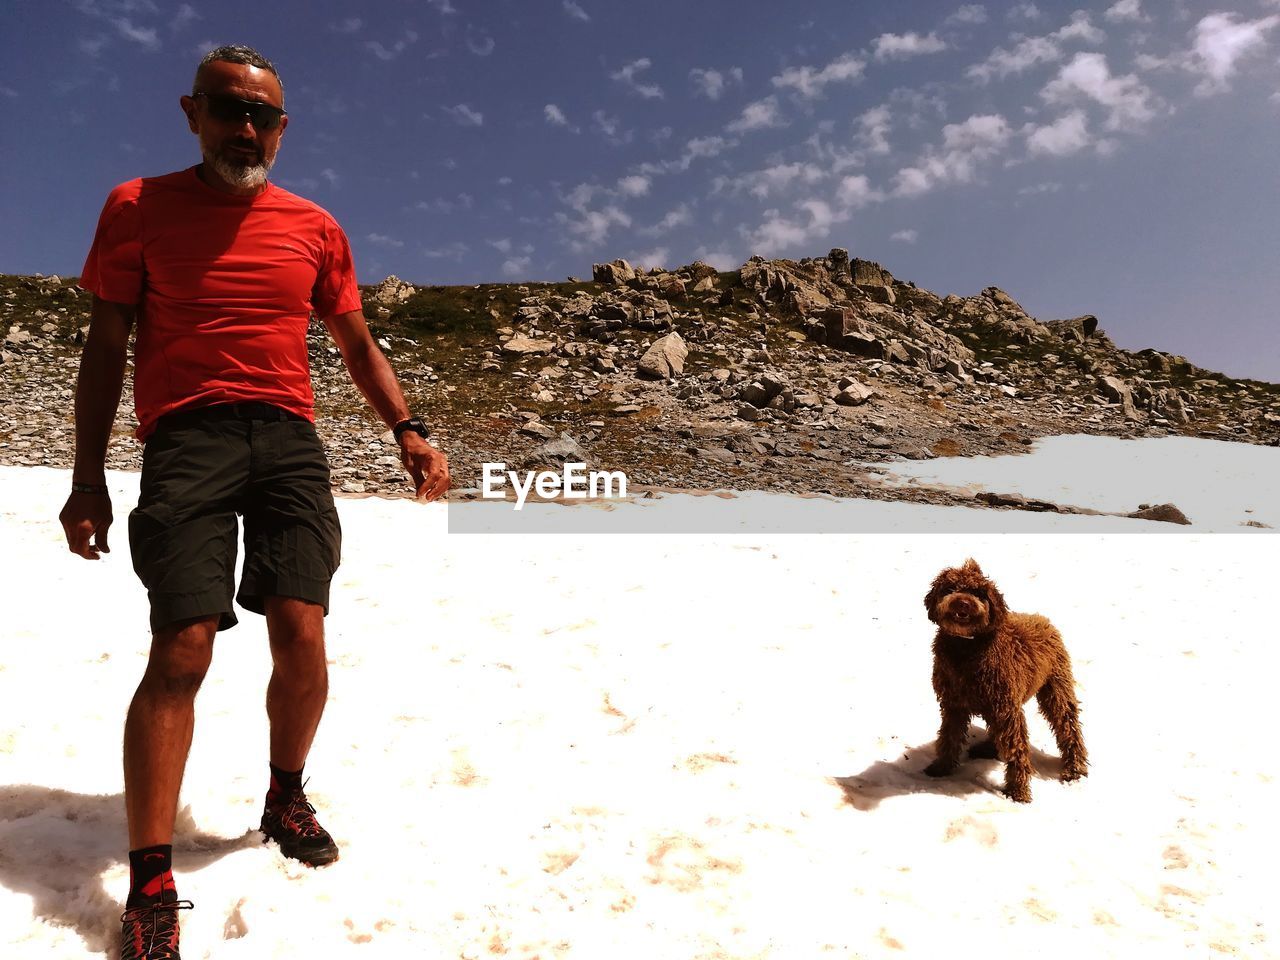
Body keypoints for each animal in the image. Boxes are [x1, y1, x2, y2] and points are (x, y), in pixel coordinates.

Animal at [921, 560, 1090, 798]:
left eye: (978, 593)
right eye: (950, 588)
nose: (963, 603)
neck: (967, 646)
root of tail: (1044, 620)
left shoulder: (1007, 709)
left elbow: (1016, 748)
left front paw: (1018, 791)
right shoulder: (954, 704)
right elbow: (949, 736)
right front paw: (941, 767)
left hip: (1056, 688)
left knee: (1068, 727)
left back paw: (1074, 769)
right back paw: (988, 748)